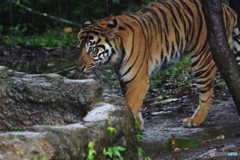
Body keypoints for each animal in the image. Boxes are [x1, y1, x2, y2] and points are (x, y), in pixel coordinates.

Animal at [77, 0, 240, 131]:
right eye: (79, 48)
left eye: (91, 49)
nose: (79, 68)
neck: (115, 57)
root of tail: (226, 7)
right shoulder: (125, 79)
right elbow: (133, 105)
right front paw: (137, 126)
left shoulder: (138, 80)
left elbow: (130, 105)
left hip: (203, 60)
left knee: (209, 93)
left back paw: (195, 120)